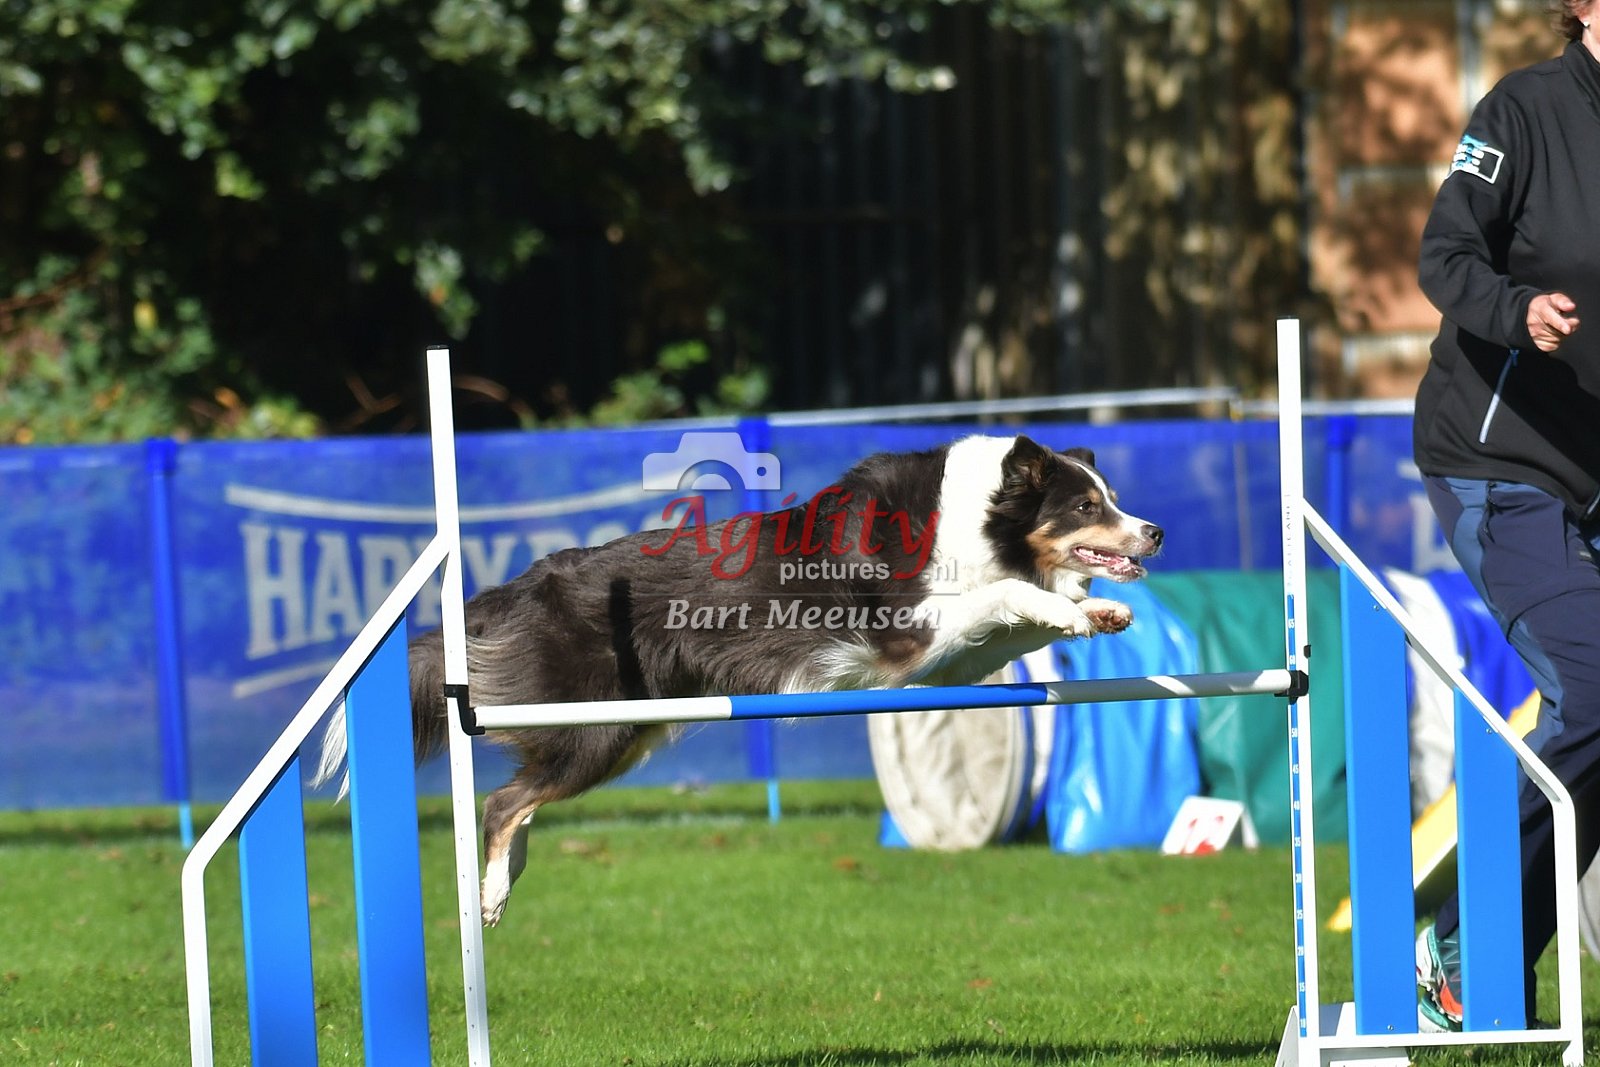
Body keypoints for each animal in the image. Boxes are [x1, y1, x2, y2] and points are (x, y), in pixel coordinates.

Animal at [315, 434, 1162, 925]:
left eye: (1113, 498)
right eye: (1086, 504)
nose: (1153, 531)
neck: (976, 518)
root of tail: (516, 587)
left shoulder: (950, 662)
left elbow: (1018, 611)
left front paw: (1097, 610)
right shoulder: (908, 634)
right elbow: (1006, 594)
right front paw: (1072, 606)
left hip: (623, 735)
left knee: (519, 800)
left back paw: (505, 879)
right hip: (597, 728)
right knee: (502, 801)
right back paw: (489, 891)